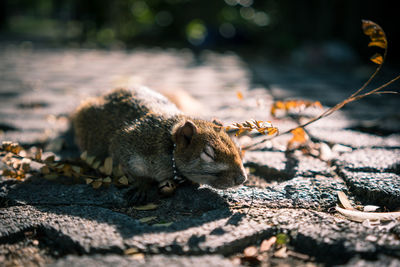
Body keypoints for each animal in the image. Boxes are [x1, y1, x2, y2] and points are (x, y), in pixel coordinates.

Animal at [72, 87, 247, 204]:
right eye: (209, 154)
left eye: (239, 149)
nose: (243, 178)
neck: (169, 148)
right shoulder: (125, 146)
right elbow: (133, 172)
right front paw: (142, 185)